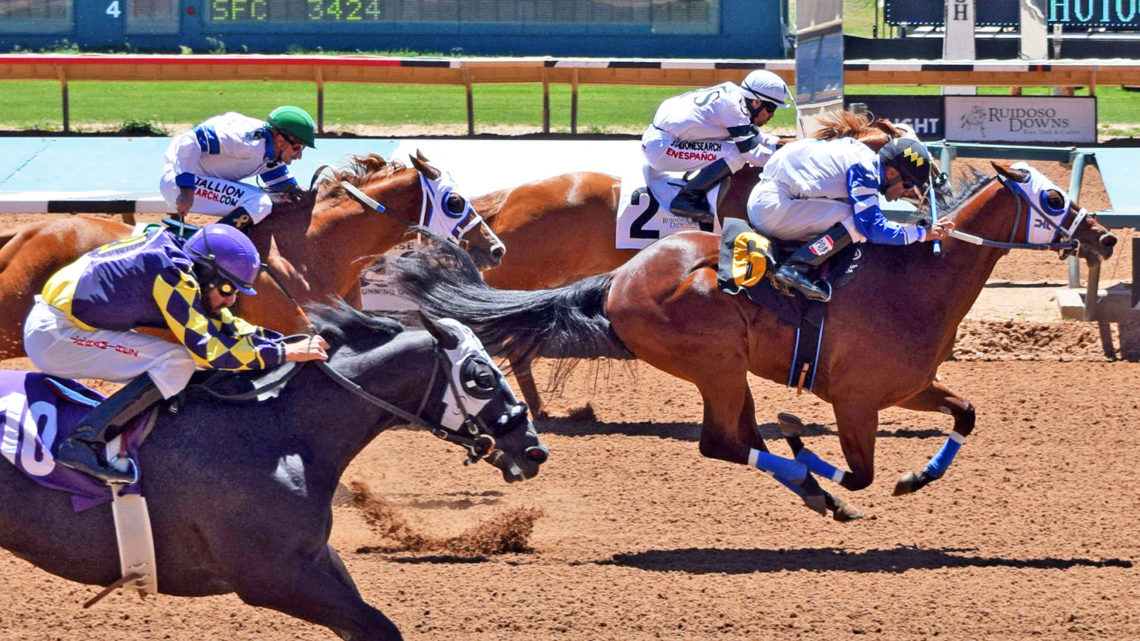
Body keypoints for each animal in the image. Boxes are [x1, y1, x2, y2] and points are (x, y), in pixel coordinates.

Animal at [0, 301, 547, 638]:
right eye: (481, 376)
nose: (533, 448)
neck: (281, 432)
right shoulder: (271, 576)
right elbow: (374, 624)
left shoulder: (313, 557)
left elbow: (373, 626)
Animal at [371, 160, 1112, 520]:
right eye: (1052, 200)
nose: (1104, 237)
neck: (914, 279)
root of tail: (619, 278)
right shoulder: (855, 400)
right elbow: (858, 468)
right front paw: (812, 447)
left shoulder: (908, 387)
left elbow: (964, 414)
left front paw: (916, 476)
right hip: (717, 363)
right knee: (724, 442)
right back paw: (811, 481)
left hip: (725, 370)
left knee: (738, 439)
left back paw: (815, 491)